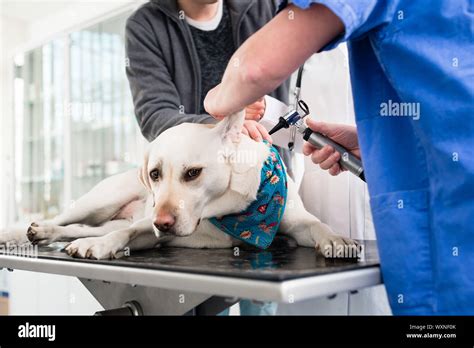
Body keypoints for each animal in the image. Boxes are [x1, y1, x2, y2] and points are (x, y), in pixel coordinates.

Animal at [0, 111, 356, 258]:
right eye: (155, 174)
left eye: (193, 173)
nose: (162, 222)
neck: (234, 209)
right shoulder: (150, 230)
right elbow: (127, 233)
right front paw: (99, 247)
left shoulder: (296, 224)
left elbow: (317, 225)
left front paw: (336, 239)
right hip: (100, 200)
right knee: (68, 219)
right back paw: (24, 232)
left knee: (78, 228)